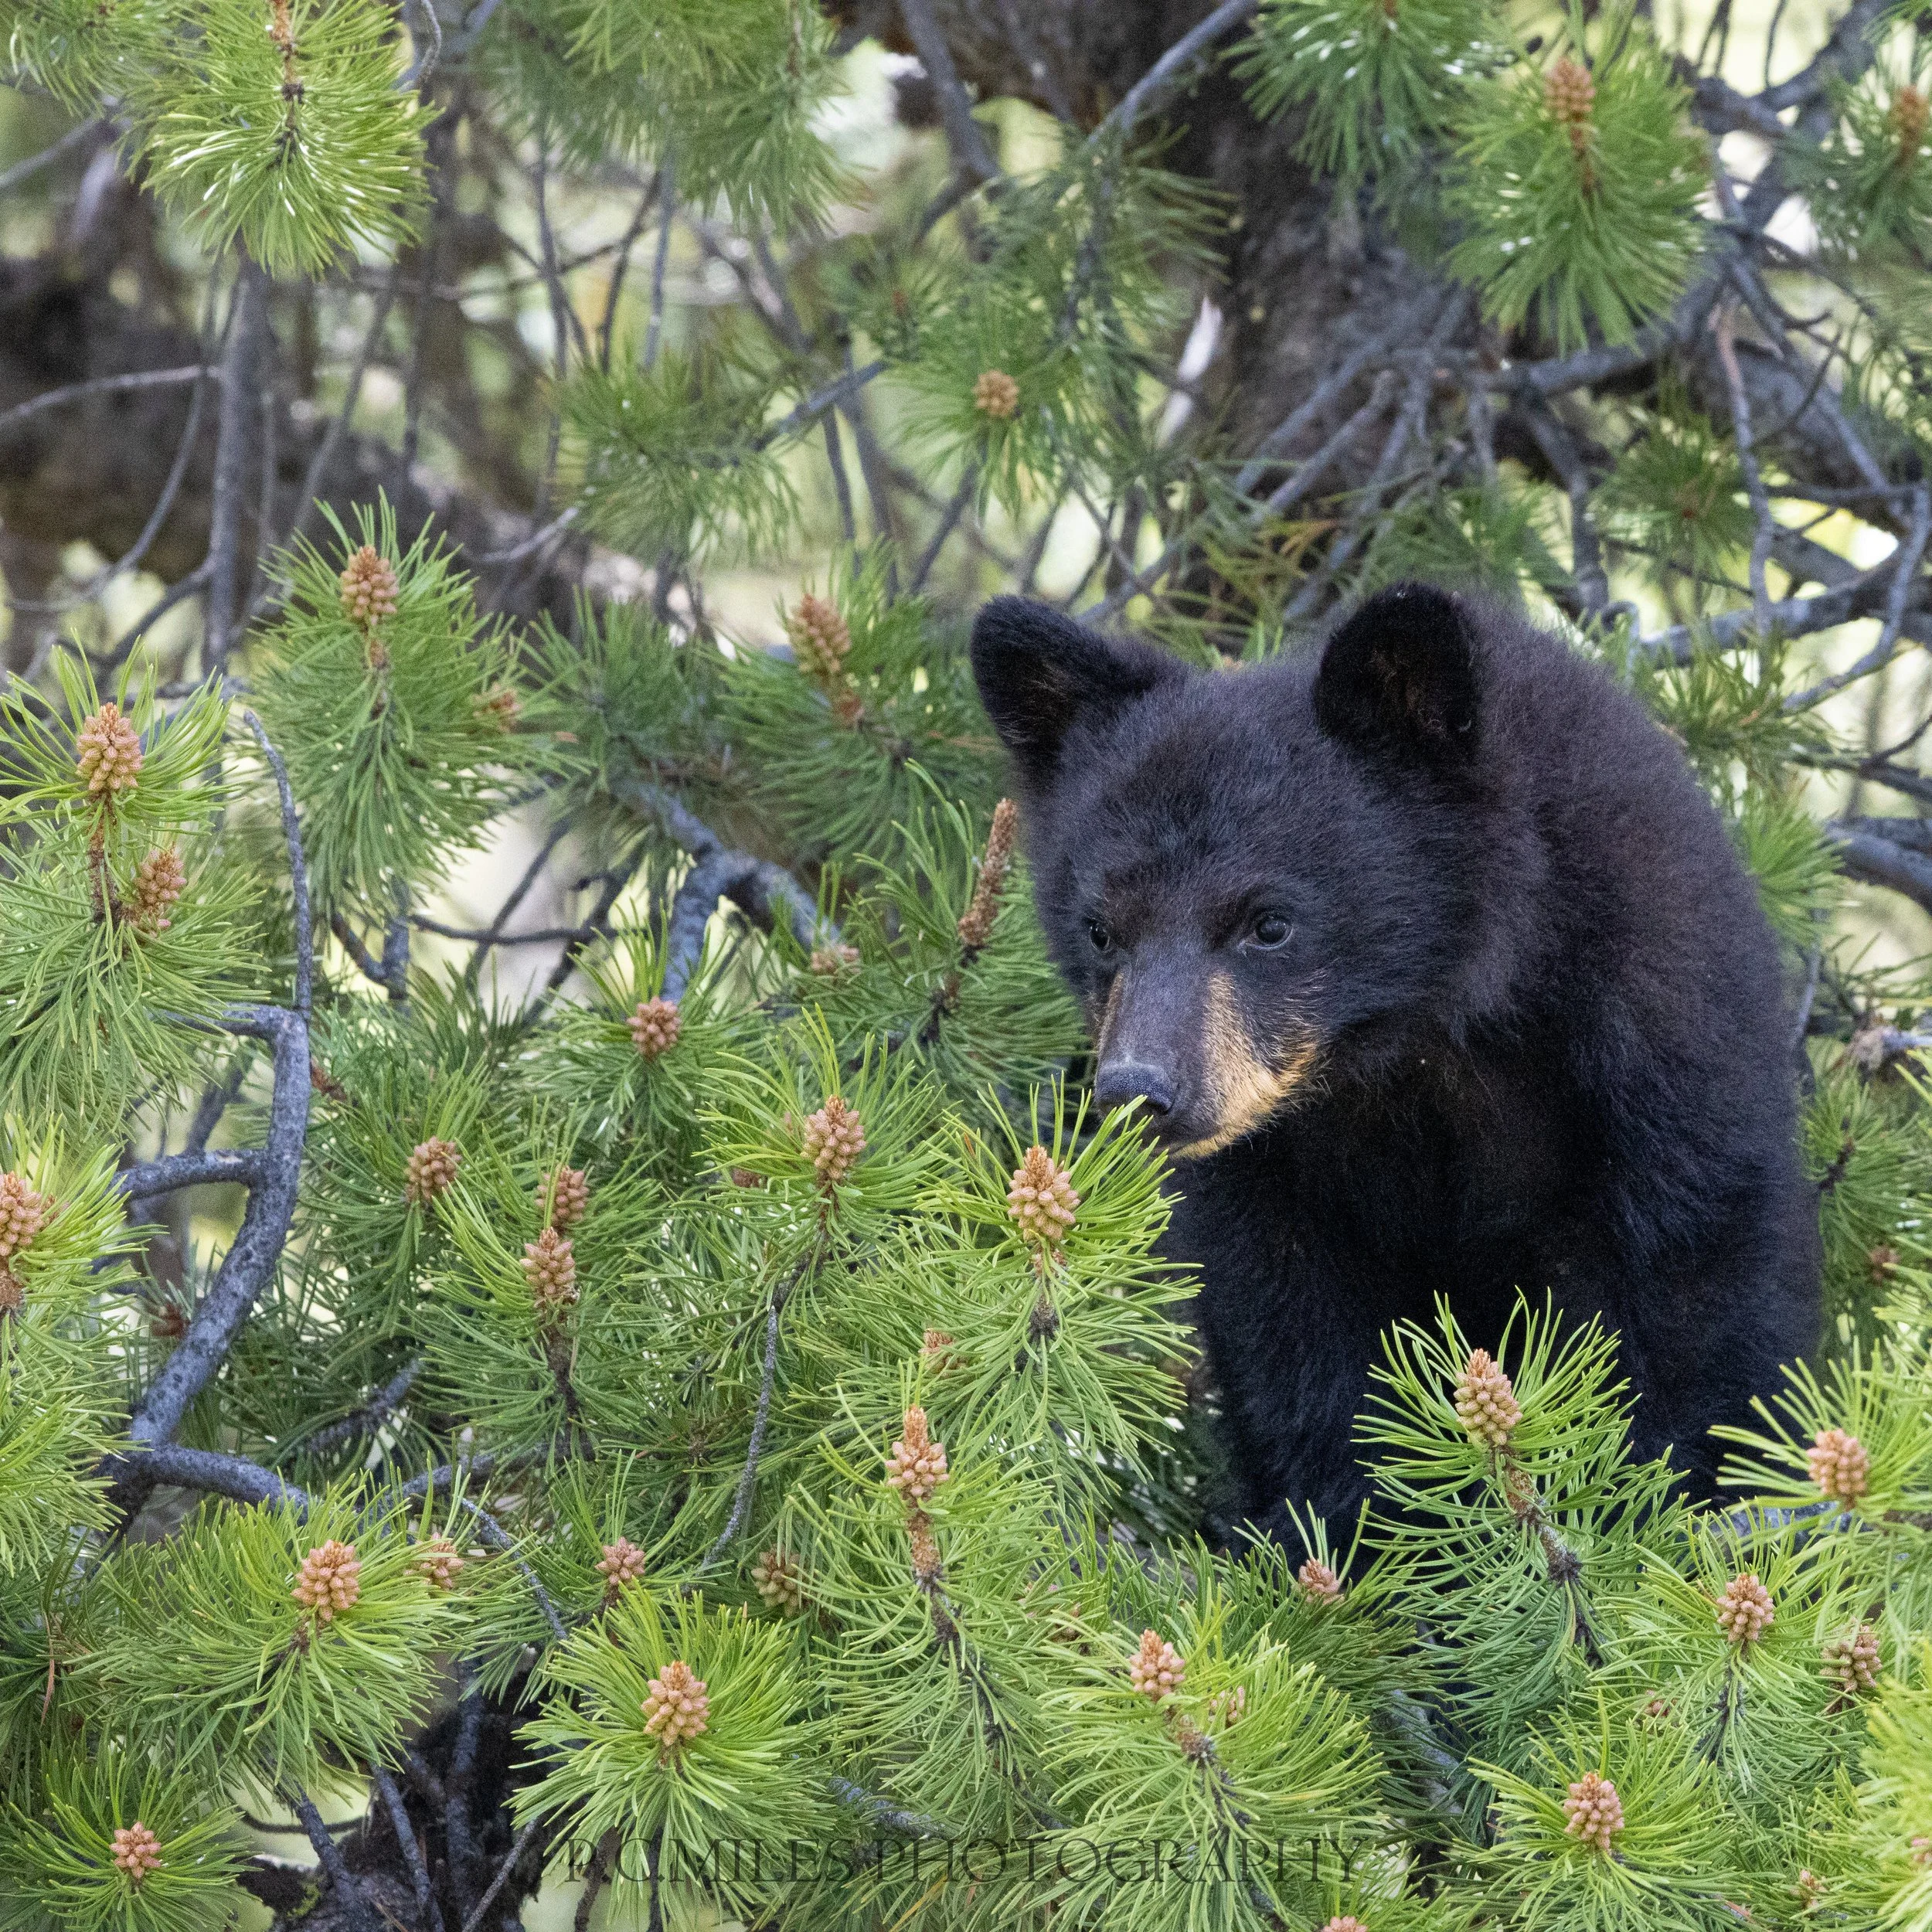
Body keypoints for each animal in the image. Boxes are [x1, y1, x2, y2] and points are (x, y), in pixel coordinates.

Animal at [970, 581, 1821, 1543]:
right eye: (1100, 930)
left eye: (1270, 921)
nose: (1137, 1089)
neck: (1413, 1048)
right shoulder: (1268, 1176)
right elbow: (1296, 1333)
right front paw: (1354, 1535)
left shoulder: (1648, 1035)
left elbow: (1691, 1282)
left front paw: (1678, 1499)